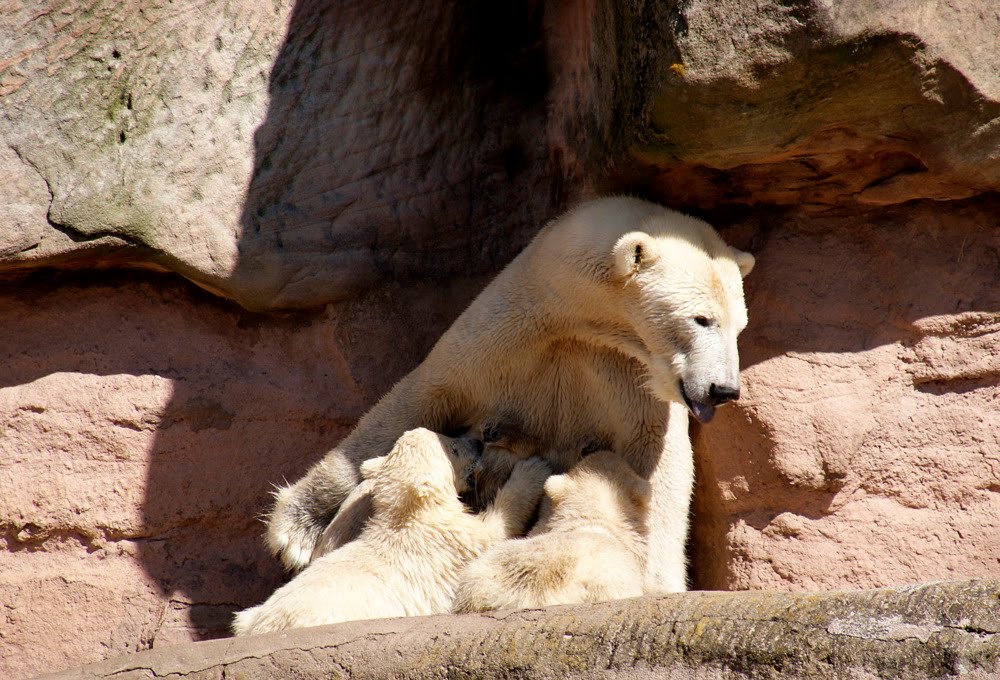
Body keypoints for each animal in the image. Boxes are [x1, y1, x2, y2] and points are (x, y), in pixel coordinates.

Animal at [231, 428, 552, 636]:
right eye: (453, 447)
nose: (476, 442)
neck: (406, 516)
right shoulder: (450, 540)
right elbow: (494, 529)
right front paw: (534, 468)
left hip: (253, 615)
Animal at [266, 194, 752, 592]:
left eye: (739, 325)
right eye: (701, 319)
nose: (724, 389)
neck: (579, 320)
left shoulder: (629, 376)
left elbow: (658, 465)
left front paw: (658, 579)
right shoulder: (506, 337)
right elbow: (415, 402)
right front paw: (296, 527)